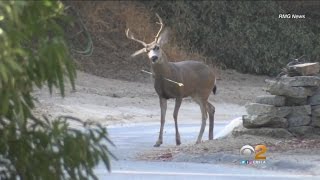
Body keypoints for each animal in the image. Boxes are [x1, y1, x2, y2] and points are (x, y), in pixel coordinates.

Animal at [126, 13, 216, 146]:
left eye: (157, 47)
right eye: (146, 50)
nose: (153, 57)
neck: (167, 77)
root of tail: (213, 74)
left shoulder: (179, 94)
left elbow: (174, 115)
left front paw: (178, 140)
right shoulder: (161, 96)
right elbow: (162, 118)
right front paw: (158, 141)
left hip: (204, 91)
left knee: (204, 114)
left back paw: (198, 140)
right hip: (196, 94)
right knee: (211, 108)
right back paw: (210, 137)